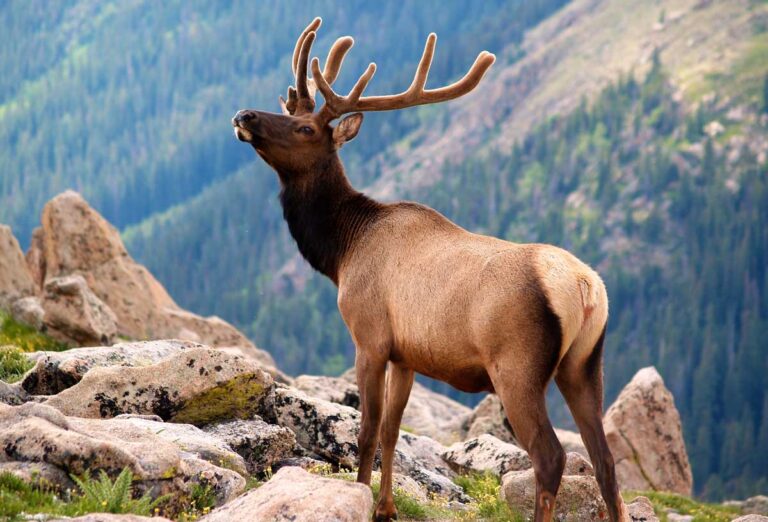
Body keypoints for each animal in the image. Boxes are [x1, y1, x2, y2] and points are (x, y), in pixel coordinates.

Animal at [232, 18, 627, 522]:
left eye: (304, 127)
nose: (245, 115)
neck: (341, 252)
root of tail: (584, 287)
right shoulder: (407, 355)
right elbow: (392, 431)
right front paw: (386, 508)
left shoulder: (370, 335)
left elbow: (367, 431)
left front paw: (364, 498)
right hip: (585, 363)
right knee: (605, 461)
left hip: (517, 366)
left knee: (551, 456)